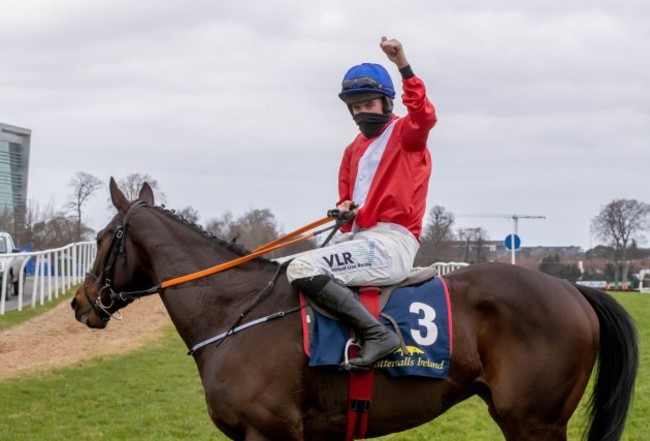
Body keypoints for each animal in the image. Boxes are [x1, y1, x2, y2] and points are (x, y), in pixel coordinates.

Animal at [71, 179, 632, 440]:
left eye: (101, 238)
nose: (80, 303)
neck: (235, 313)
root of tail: (572, 290)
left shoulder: (272, 432)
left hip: (535, 421)